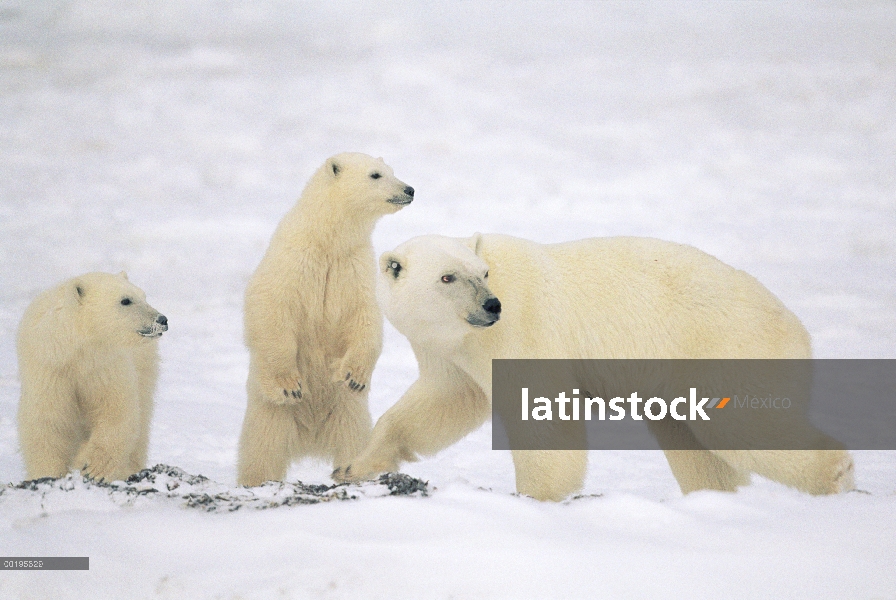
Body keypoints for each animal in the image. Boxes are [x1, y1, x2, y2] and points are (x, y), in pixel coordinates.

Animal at [240, 151, 418, 488]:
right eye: (376, 174)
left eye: (392, 170)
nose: (409, 189)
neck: (327, 240)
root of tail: (310, 440)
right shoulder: (293, 261)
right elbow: (273, 310)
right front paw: (290, 385)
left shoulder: (355, 267)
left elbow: (365, 319)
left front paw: (354, 376)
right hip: (271, 416)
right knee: (263, 453)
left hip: (348, 413)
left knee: (353, 443)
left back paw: (350, 472)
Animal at [340, 234, 856, 502]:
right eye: (447, 277)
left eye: (482, 274)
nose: (491, 305)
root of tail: (796, 326)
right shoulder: (452, 352)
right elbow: (440, 404)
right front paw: (355, 464)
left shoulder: (522, 330)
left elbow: (544, 417)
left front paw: (537, 498)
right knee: (694, 445)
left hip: (726, 347)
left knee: (743, 427)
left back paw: (837, 478)